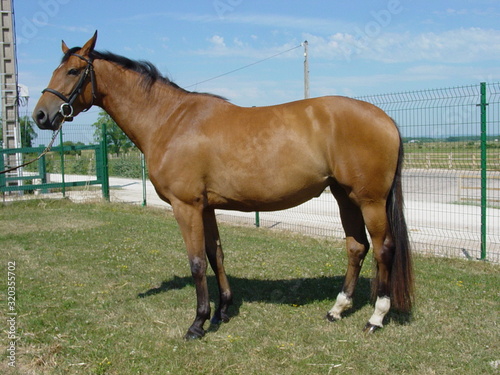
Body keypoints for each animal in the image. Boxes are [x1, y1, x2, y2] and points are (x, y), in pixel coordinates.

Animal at [32, 33, 414, 340]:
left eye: (72, 71)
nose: (40, 116)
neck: (170, 120)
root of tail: (385, 118)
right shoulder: (207, 206)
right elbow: (216, 255)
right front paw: (223, 311)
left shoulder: (186, 206)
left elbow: (197, 261)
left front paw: (198, 323)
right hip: (344, 196)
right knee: (356, 247)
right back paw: (337, 309)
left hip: (370, 200)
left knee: (383, 249)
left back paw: (376, 317)